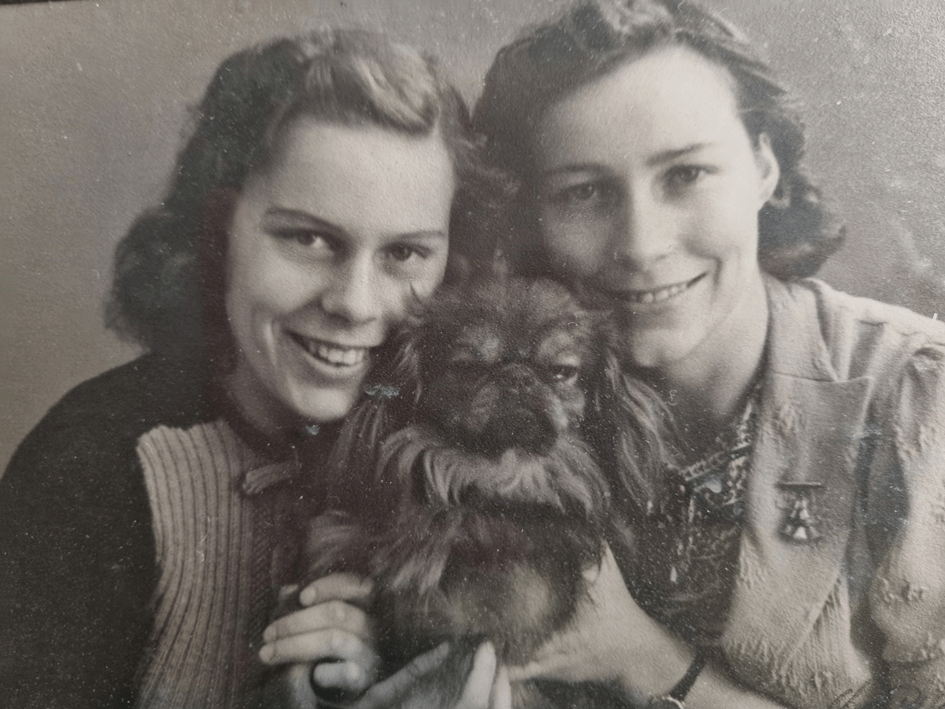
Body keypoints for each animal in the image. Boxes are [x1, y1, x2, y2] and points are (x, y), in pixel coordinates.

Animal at [291, 271, 667, 708]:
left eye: (561, 371)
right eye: (469, 367)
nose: (519, 376)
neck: (489, 485)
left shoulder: (482, 627)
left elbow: (436, 681)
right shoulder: (335, 553)